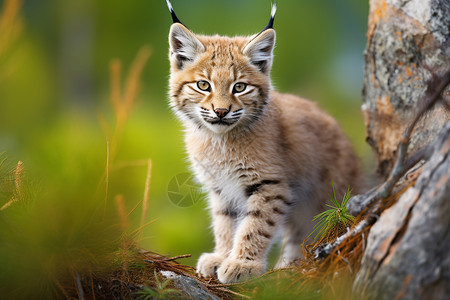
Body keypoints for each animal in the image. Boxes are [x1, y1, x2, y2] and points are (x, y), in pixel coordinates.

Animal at [165, 1, 362, 284]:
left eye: (239, 87)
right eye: (203, 85)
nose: (221, 111)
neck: (219, 139)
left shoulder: (269, 183)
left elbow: (255, 225)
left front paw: (243, 264)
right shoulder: (220, 187)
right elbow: (224, 223)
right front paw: (222, 256)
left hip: (326, 202)